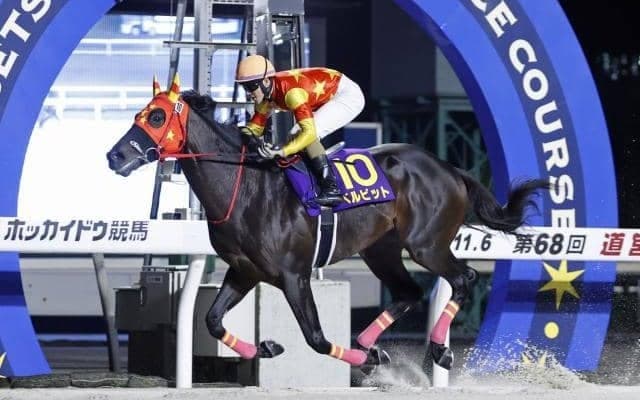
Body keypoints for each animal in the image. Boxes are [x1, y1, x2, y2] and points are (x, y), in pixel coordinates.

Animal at [107, 75, 548, 371]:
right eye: (140, 114)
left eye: (157, 116)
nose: (114, 155)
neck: (246, 186)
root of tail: (449, 168)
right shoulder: (245, 271)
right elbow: (212, 321)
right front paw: (264, 348)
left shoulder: (293, 275)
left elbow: (316, 338)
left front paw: (362, 360)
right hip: (381, 250)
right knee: (409, 292)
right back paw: (372, 343)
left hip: (427, 244)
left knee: (463, 278)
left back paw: (438, 348)